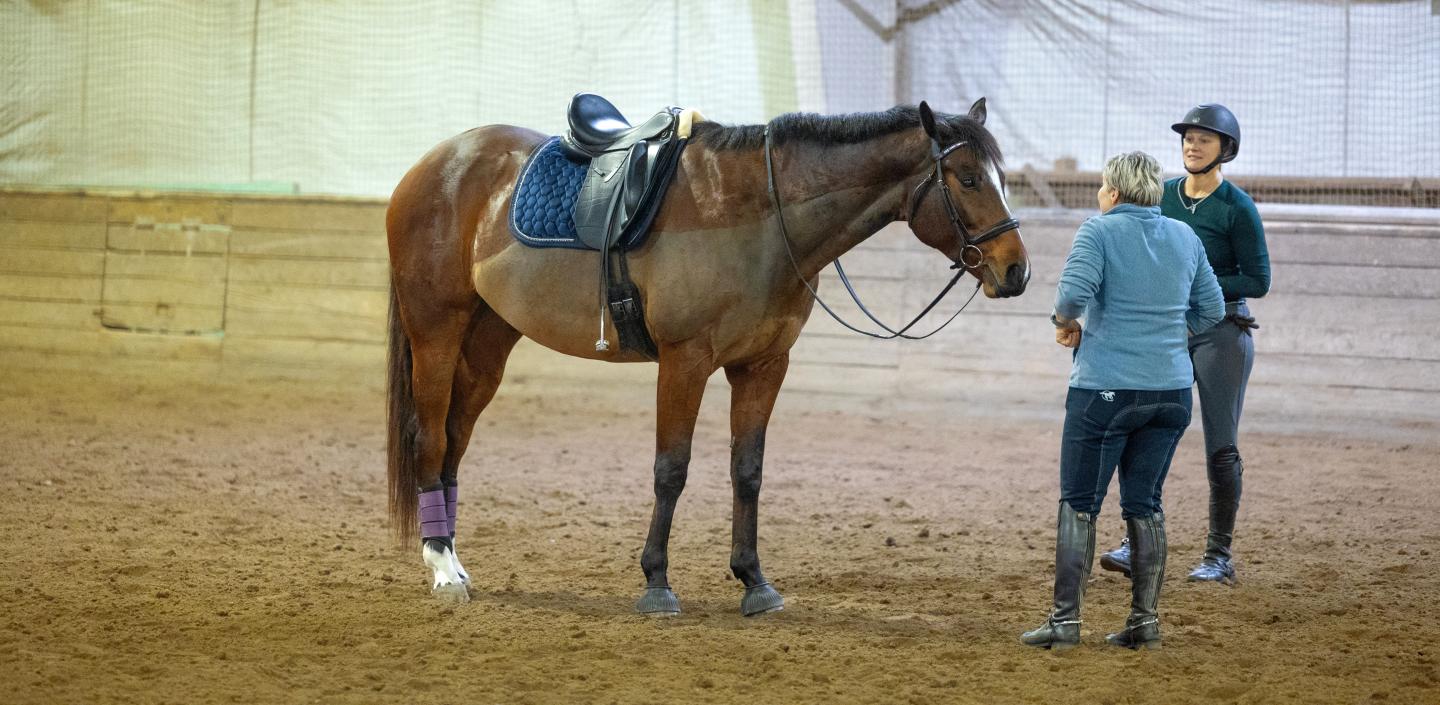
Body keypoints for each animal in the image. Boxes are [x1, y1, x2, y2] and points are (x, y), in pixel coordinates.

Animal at [385, 97, 1030, 615]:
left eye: (1001, 177)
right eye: (967, 178)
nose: (1016, 271)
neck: (760, 216)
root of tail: (435, 162)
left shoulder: (764, 366)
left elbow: (748, 471)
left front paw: (754, 582)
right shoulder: (685, 361)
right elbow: (671, 470)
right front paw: (656, 584)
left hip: (487, 343)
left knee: (454, 442)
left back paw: (453, 559)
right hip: (437, 332)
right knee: (430, 438)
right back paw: (443, 570)